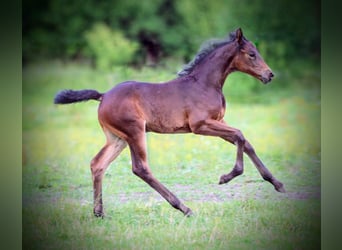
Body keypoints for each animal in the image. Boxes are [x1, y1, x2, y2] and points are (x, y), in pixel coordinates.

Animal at [54, 27, 284, 217]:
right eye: (251, 54)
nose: (270, 74)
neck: (204, 83)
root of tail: (103, 96)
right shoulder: (200, 125)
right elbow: (239, 135)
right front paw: (227, 177)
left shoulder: (218, 121)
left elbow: (245, 142)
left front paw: (277, 183)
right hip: (134, 132)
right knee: (140, 168)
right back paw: (184, 208)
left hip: (117, 138)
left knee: (98, 164)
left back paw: (99, 212)